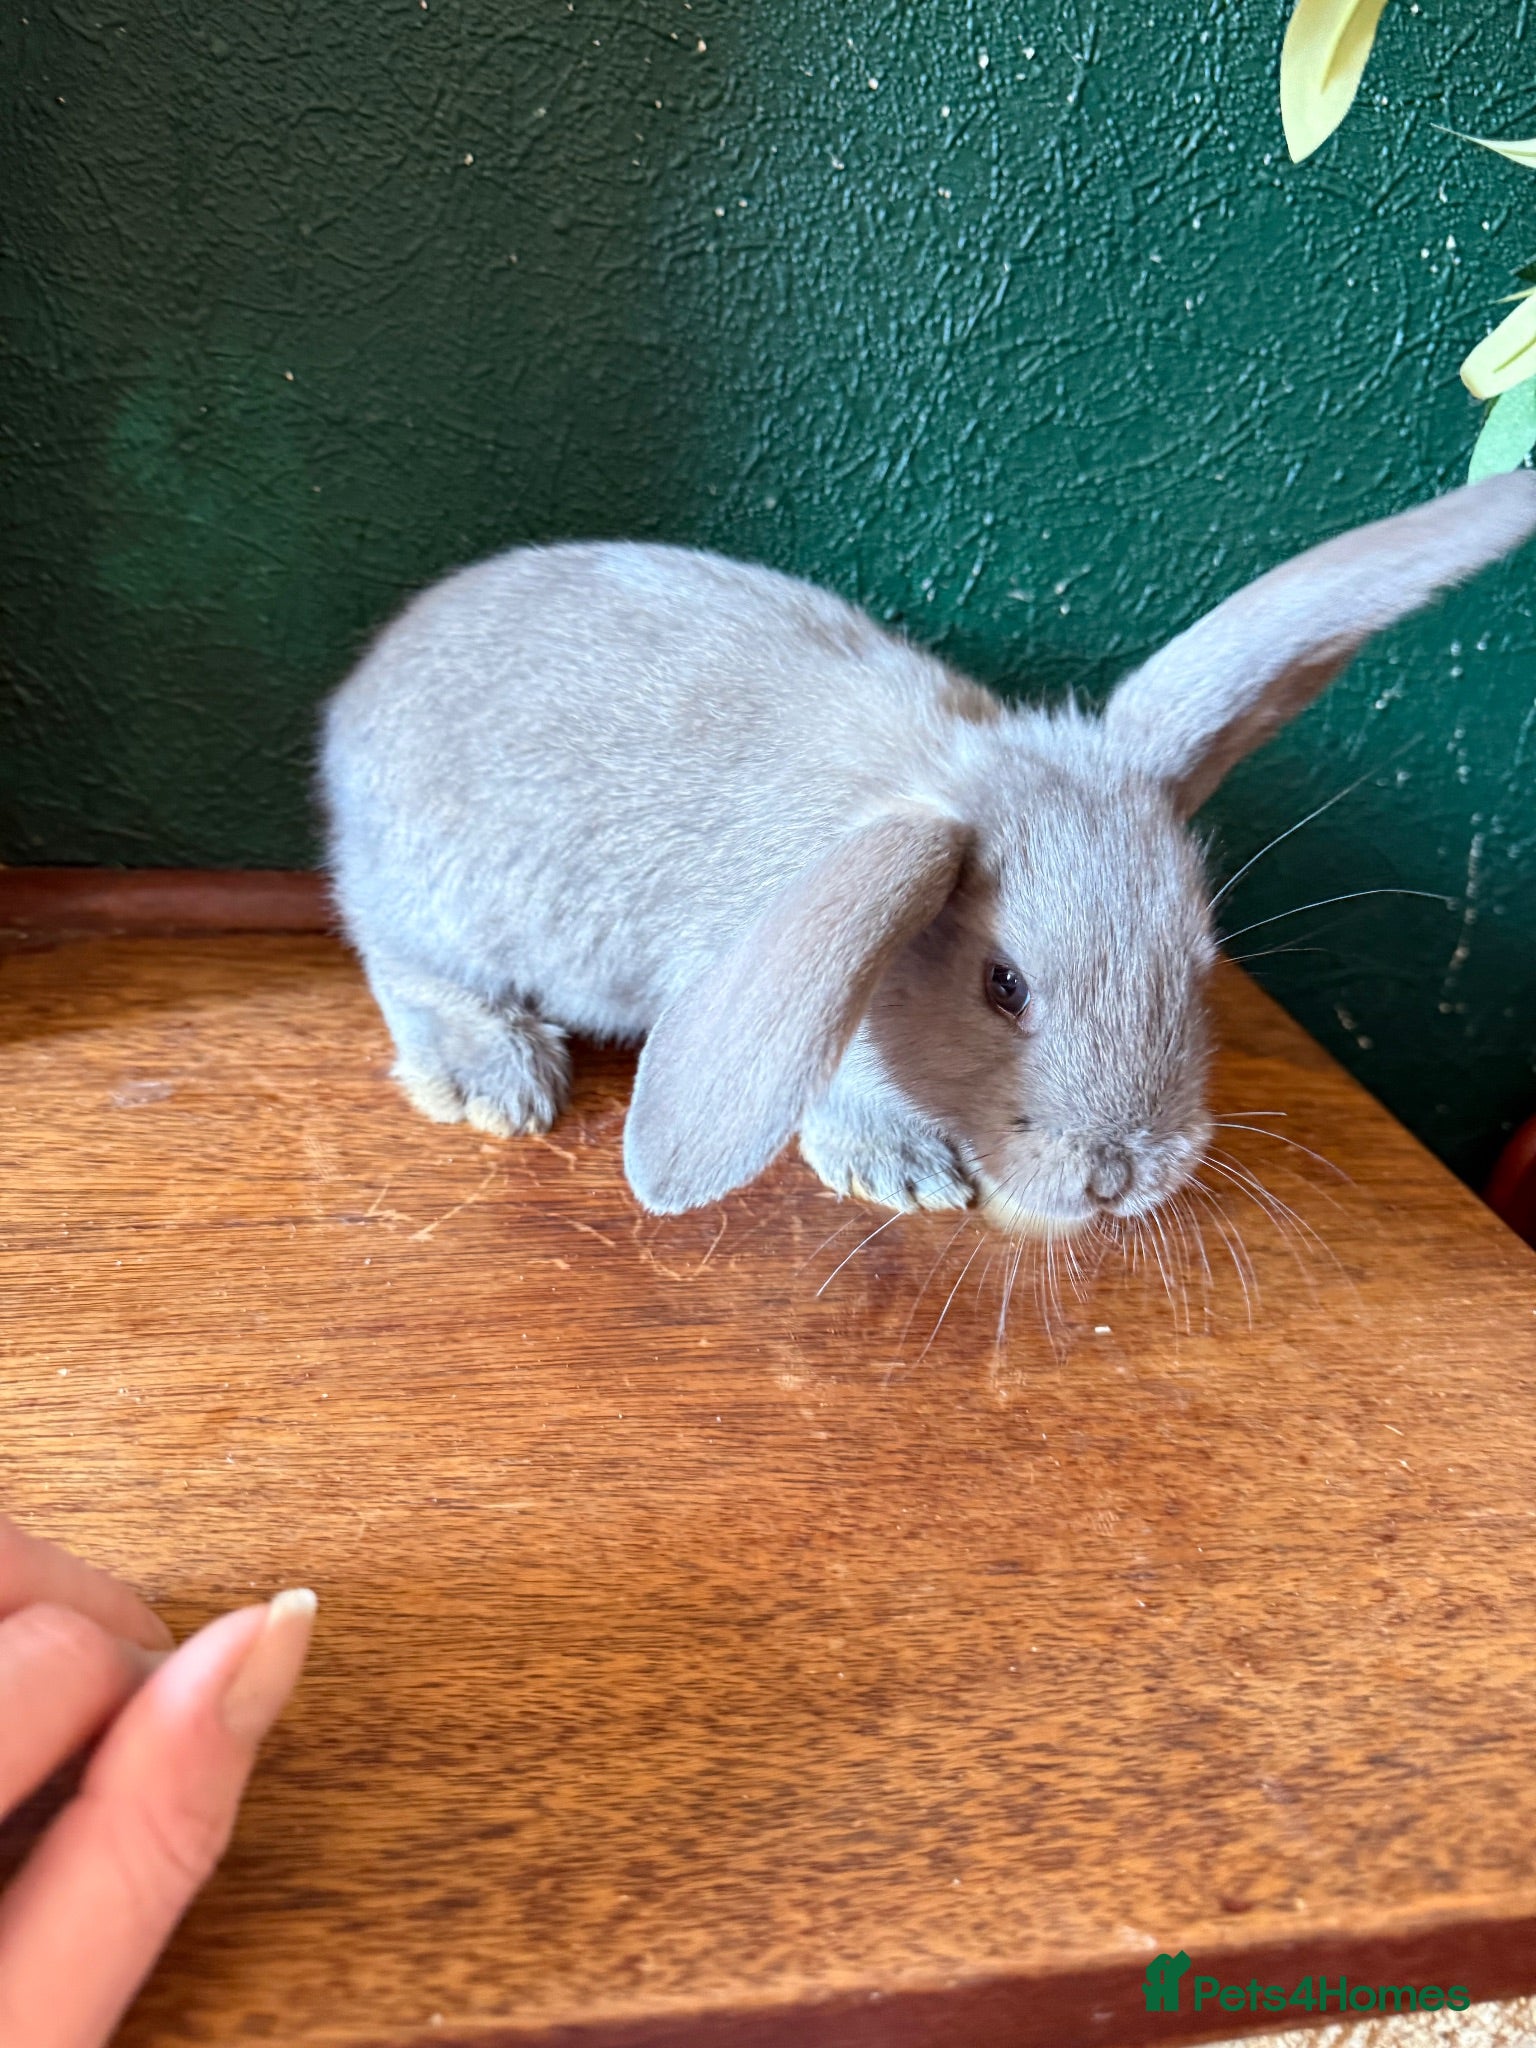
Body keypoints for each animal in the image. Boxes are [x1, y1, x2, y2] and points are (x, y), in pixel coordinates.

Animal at [321, 471, 1536, 1237]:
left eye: (1201, 967)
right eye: (1005, 986)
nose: (1119, 1175)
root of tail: (360, 695)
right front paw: (901, 1174)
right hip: (440, 902)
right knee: (400, 959)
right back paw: (493, 1079)